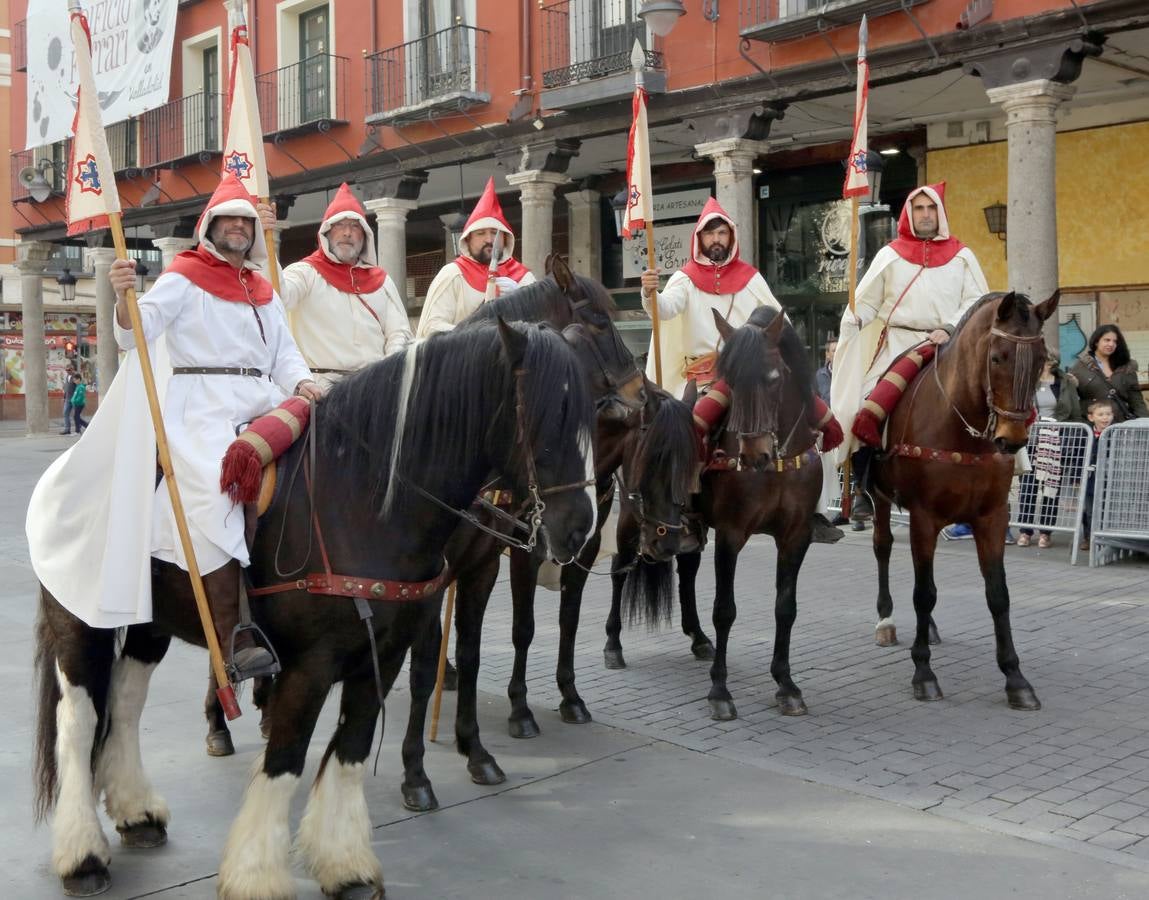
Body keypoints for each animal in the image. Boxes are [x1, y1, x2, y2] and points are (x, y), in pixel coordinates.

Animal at [33, 319, 602, 900]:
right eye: (543, 415)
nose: (580, 530)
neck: (359, 501)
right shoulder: (309, 666)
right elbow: (286, 757)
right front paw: (257, 875)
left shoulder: (382, 656)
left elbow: (351, 747)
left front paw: (344, 865)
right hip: (79, 622)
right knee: (78, 719)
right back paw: (83, 855)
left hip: (151, 624)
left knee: (125, 700)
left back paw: (136, 812)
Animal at [611, 305, 827, 721]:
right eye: (731, 382)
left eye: (774, 379)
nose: (754, 454)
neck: (777, 466)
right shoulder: (731, 534)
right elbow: (725, 609)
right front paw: (720, 691)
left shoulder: (796, 537)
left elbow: (785, 608)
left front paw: (786, 684)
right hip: (630, 517)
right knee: (619, 568)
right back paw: (612, 645)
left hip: (686, 529)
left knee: (687, 570)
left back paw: (697, 638)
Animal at [868, 290, 1057, 712]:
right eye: (997, 357)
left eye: (1041, 359)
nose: (1012, 438)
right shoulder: (924, 517)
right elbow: (924, 593)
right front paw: (924, 673)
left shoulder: (992, 517)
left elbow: (998, 595)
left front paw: (1015, 678)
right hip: (880, 498)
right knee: (883, 548)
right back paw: (886, 621)